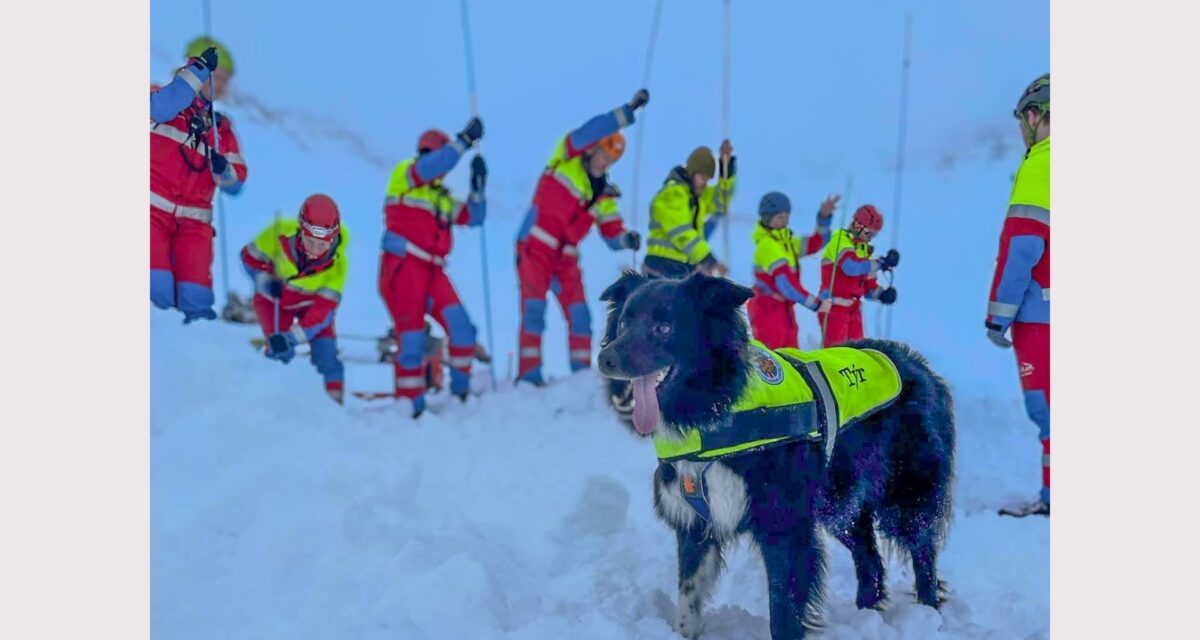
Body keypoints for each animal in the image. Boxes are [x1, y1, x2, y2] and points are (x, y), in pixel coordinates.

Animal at [600, 270, 955, 638]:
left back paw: (929, 612)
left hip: (907, 495)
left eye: (664, 328)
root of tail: (916, 363)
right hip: (840, 503)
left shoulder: (785, 527)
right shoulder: (694, 522)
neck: (713, 410)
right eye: (623, 323)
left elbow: (783, 610)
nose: (605, 359)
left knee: (922, 553)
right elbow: (689, 600)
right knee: (869, 558)